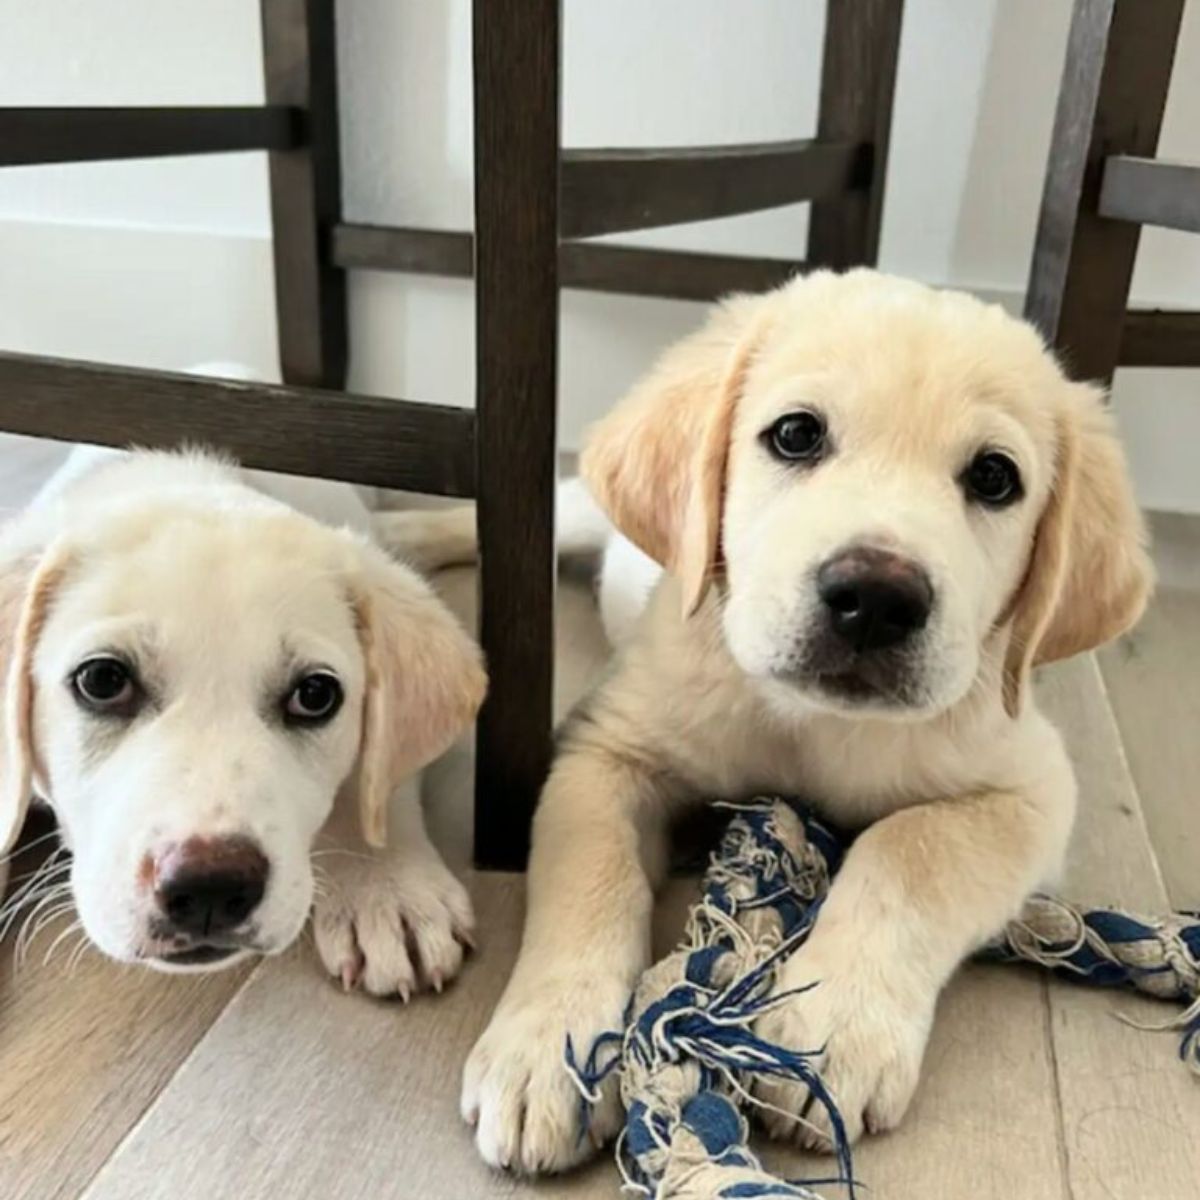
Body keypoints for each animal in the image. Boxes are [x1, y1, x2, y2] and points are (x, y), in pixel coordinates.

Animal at [393, 270, 1152, 1171]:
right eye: (796, 435)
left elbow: (910, 851)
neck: (807, 723)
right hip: (577, 518)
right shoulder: (604, 748)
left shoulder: (1028, 789)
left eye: (995, 478)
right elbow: (591, 875)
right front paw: (551, 1045)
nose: (876, 598)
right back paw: (402, 532)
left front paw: (831, 1028)